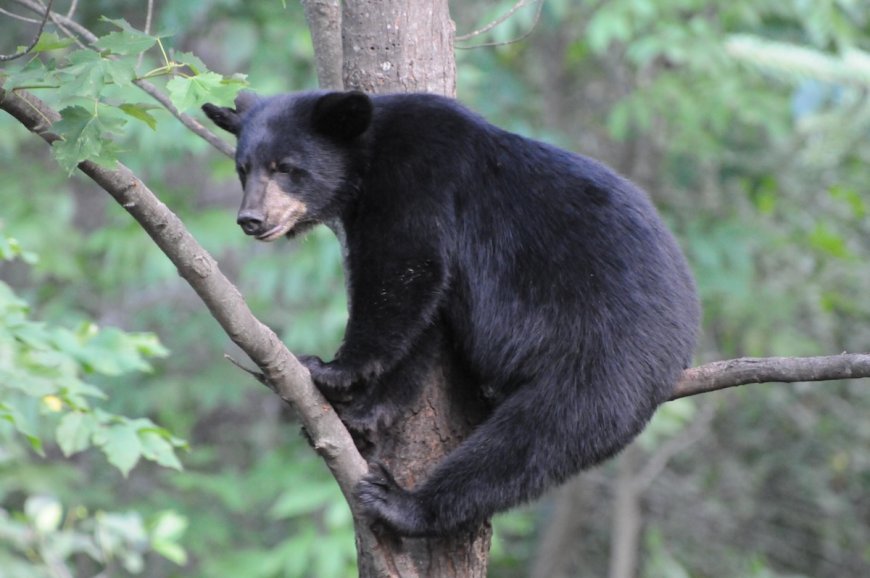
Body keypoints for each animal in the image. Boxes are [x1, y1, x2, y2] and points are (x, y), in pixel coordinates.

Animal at [202, 90, 700, 537]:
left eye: (286, 168)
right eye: (243, 168)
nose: (251, 219)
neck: (370, 153)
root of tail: (687, 337)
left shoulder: (419, 178)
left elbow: (404, 267)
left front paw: (333, 369)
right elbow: (425, 319)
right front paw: (362, 414)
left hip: (607, 345)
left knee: (545, 431)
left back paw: (405, 505)